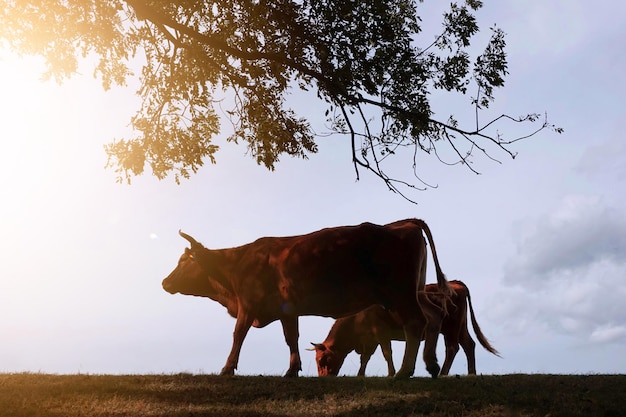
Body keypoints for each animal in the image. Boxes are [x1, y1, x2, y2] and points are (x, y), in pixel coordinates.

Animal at [161, 219, 448, 378]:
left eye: (185, 261)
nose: (164, 282)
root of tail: (404, 224)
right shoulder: (287, 310)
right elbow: (291, 338)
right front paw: (292, 369)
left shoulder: (248, 304)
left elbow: (238, 334)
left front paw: (227, 368)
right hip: (414, 292)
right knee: (431, 320)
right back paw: (430, 365)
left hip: (401, 294)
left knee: (416, 324)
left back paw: (404, 372)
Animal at [310, 280, 500, 376]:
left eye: (321, 359)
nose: (323, 378)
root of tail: (456, 284)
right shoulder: (370, 339)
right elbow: (365, 358)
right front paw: (360, 374)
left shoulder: (380, 331)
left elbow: (386, 352)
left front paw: (391, 373)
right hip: (460, 327)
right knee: (469, 345)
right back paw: (471, 373)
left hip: (451, 327)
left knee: (453, 348)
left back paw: (444, 373)